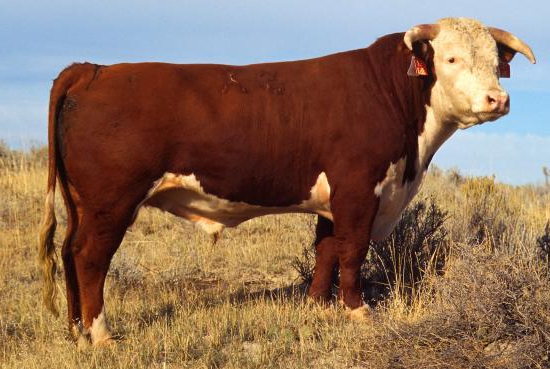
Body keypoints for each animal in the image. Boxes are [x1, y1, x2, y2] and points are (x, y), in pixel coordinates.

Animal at [40, 17, 540, 344]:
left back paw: (76, 331)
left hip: (80, 203)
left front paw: (318, 305)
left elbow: (326, 251)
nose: (497, 99)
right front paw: (359, 312)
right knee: (89, 257)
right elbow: (353, 252)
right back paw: (101, 334)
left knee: (67, 252)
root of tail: (93, 70)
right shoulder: (358, 189)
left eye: (495, 61)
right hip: (111, 202)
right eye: (451, 58)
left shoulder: (334, 199)